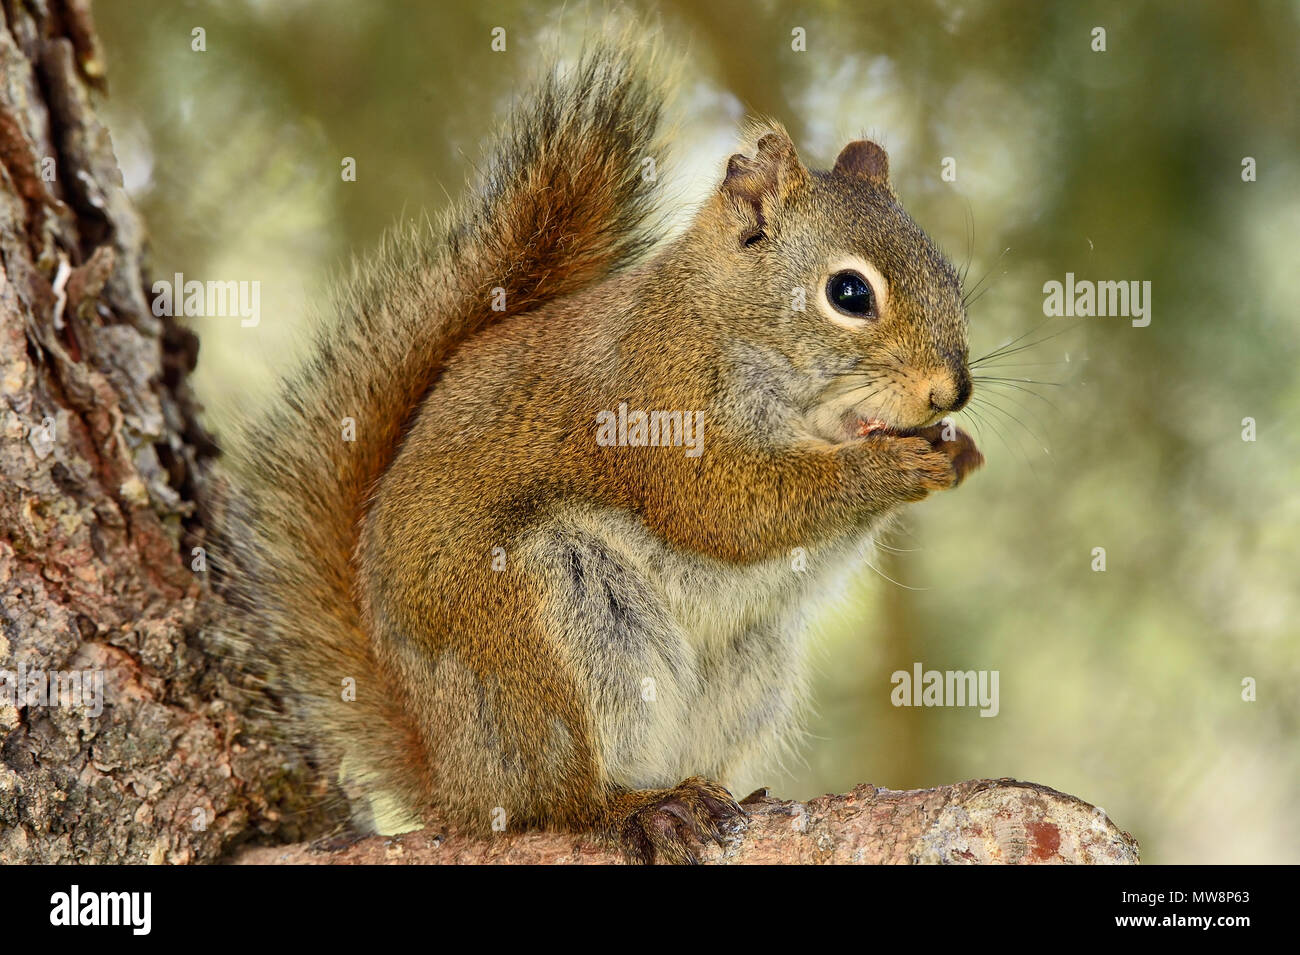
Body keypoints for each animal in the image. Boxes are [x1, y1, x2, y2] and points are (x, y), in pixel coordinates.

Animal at [212, 41, 982, 864]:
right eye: (849, 293)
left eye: (948, 273)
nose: (951, 392)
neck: (723, 323)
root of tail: (454, 786)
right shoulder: (657, 405)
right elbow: (725, 509)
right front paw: (887, 468)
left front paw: (954, 450)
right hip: (544, 629)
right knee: (558, 801)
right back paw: (636, 806)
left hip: (751, 664)